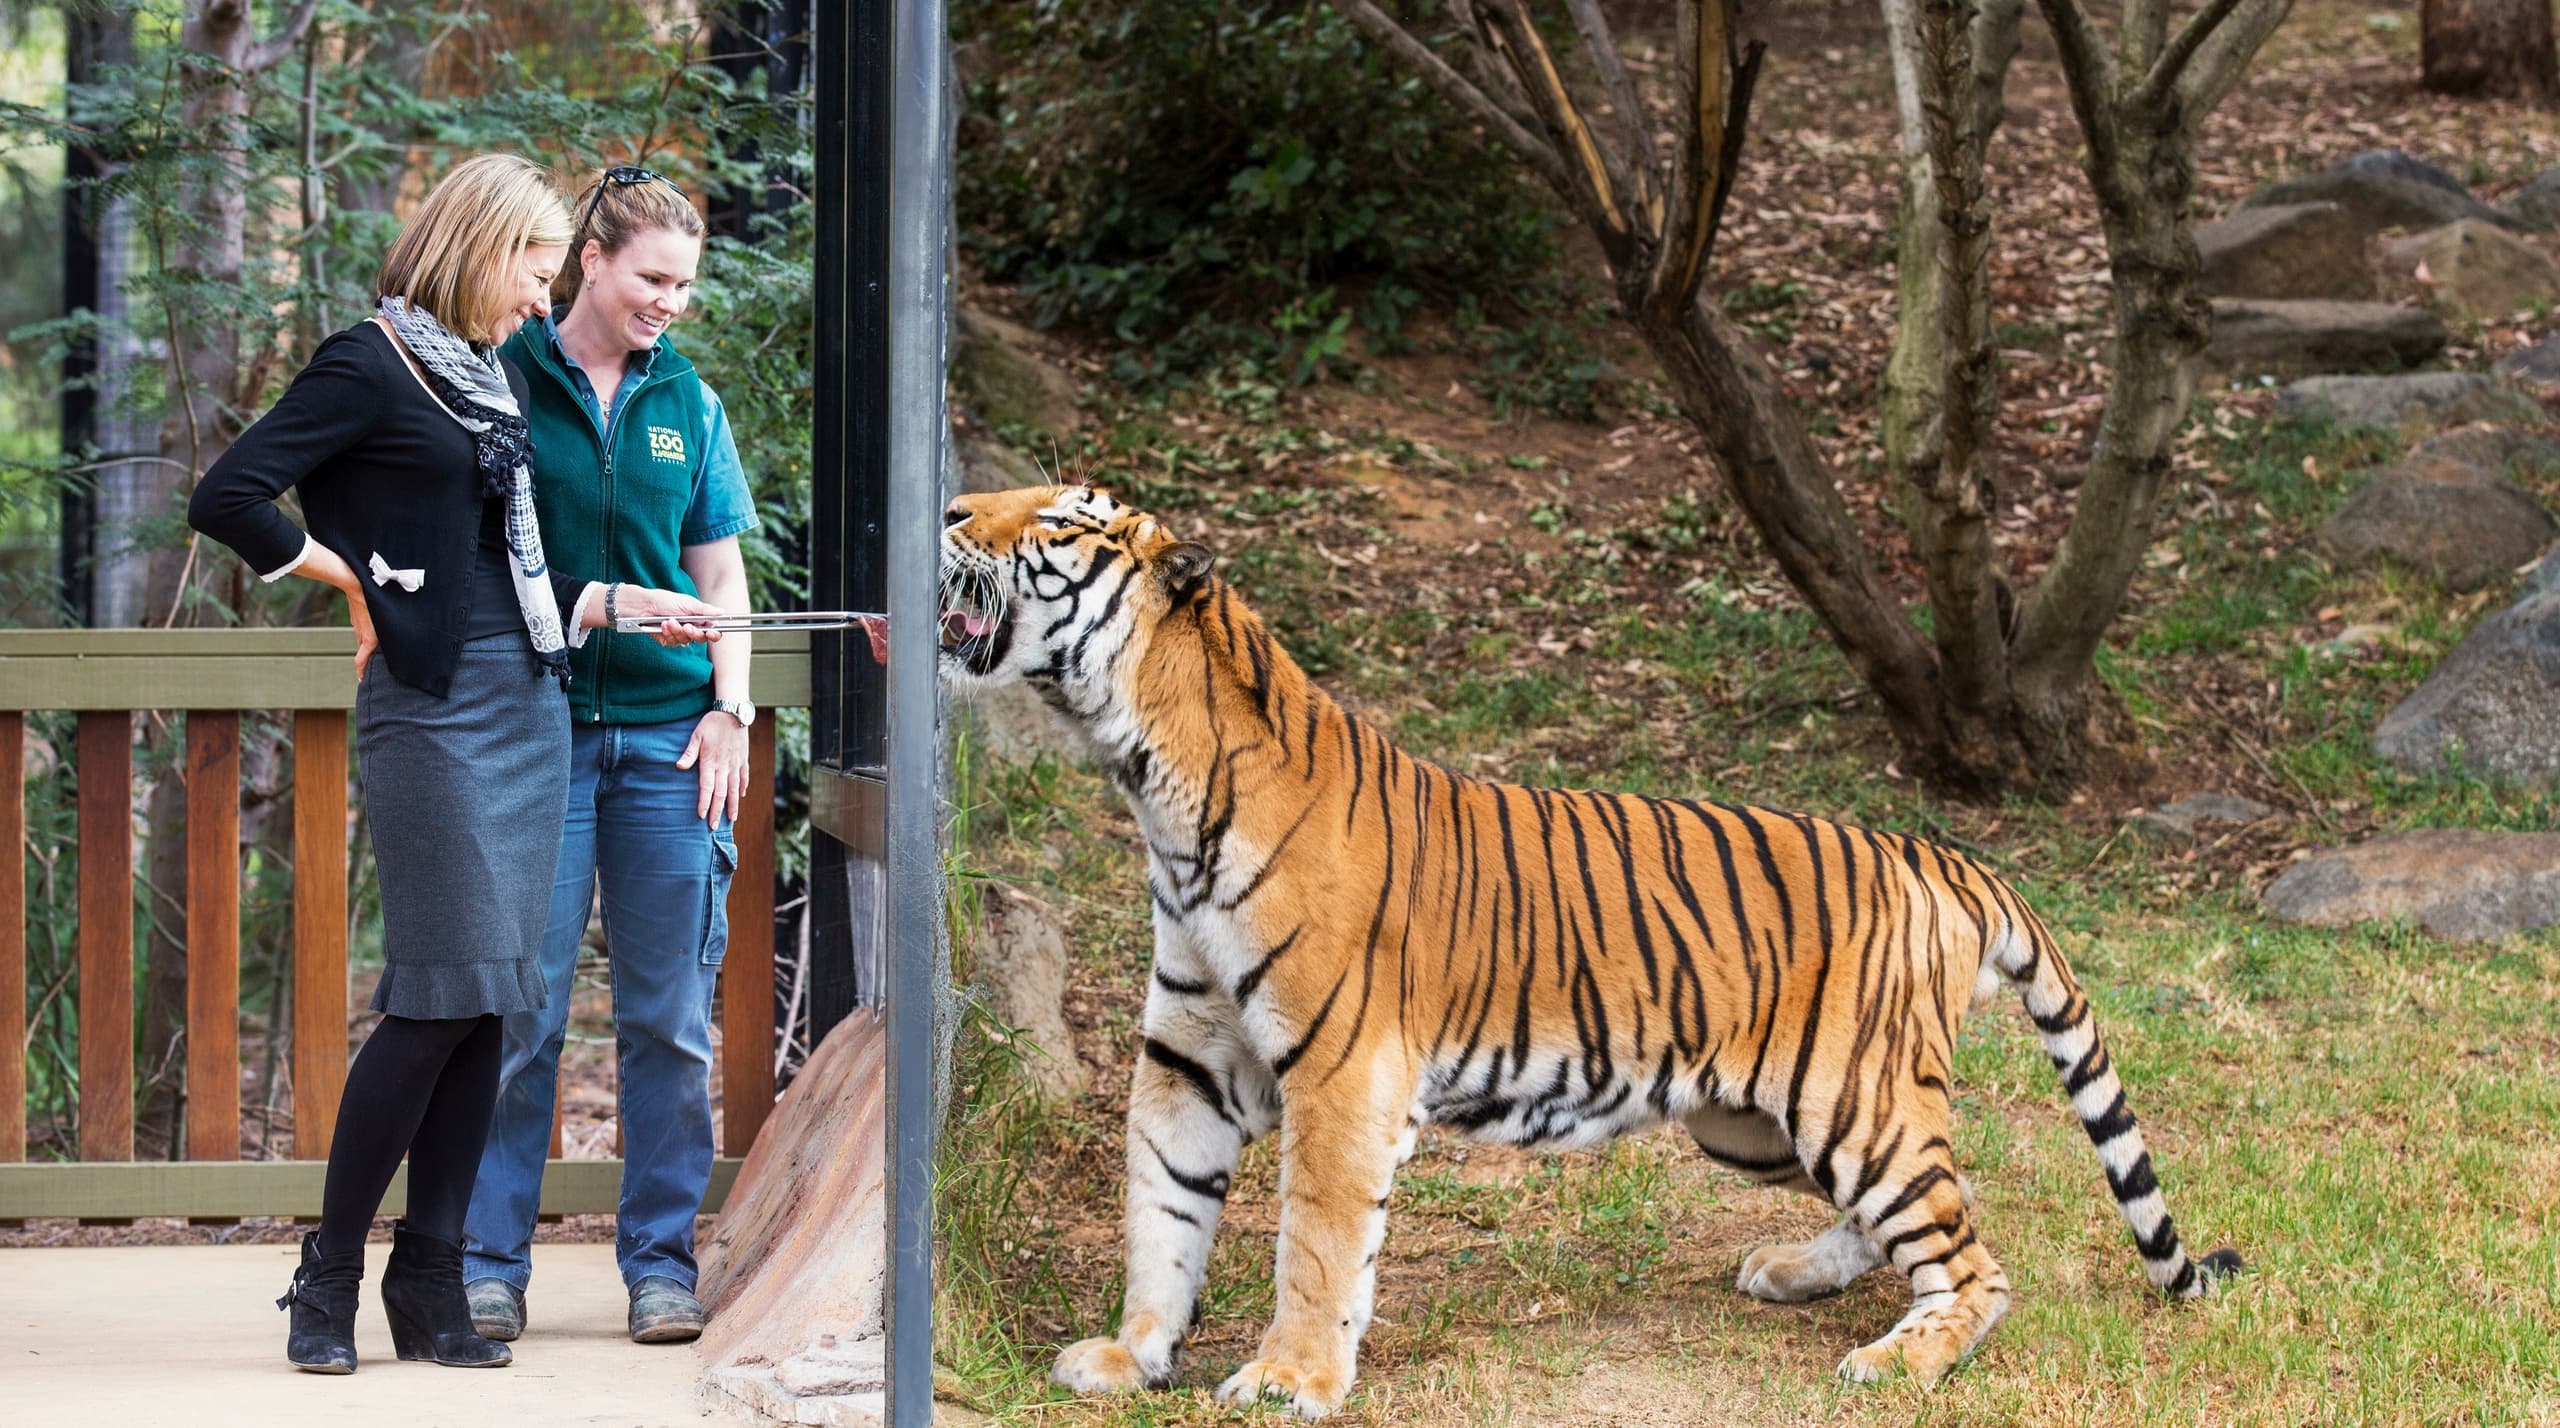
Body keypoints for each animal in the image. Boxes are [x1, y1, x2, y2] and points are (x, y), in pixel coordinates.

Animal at [939, 484, 2240, 1419]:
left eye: (1056, 520)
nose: (950, 509)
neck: (1154, 785)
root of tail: (1939, 853)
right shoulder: (1187, 1063)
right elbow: (1160, 1214)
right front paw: (1132, 1354)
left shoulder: (1343, 1075)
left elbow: (1313, 1242)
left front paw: (1285, 1380)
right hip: (1755, 1120)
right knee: (1923, 1215)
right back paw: (1799, 1274)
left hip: (1851, 1098)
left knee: (1972, 1258)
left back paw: (1899, 1360)